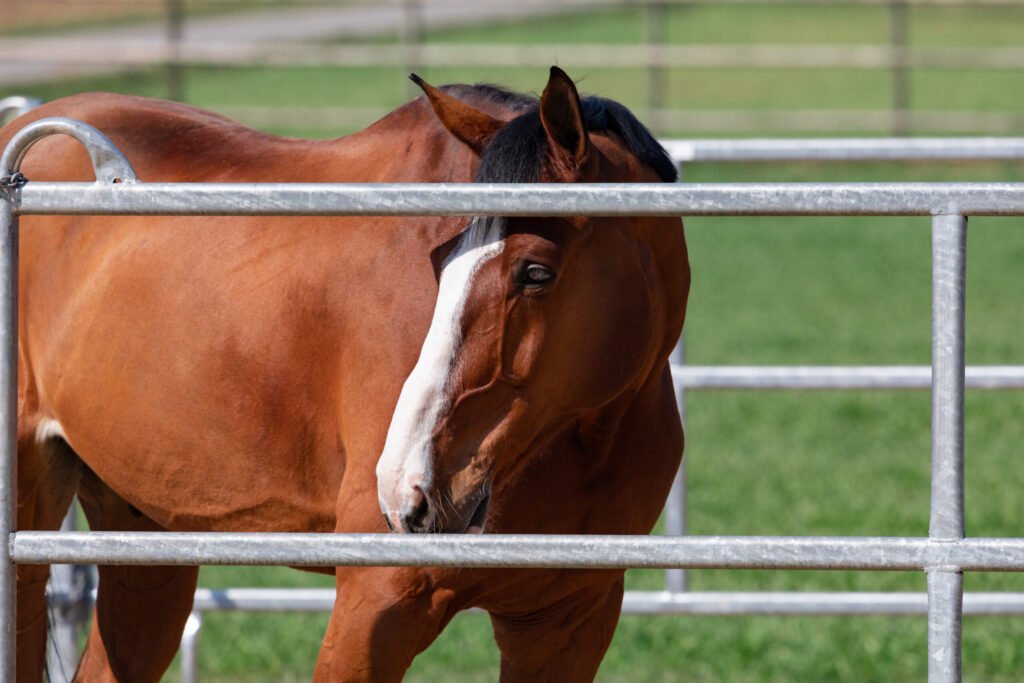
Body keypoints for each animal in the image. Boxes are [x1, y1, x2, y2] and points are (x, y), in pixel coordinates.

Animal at [2, 66, 689, 682]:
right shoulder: (375, 607)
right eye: (441, 260)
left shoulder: (564, 624)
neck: (586, 439)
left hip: (146, 541)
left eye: (536, 272)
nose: (407, 489)